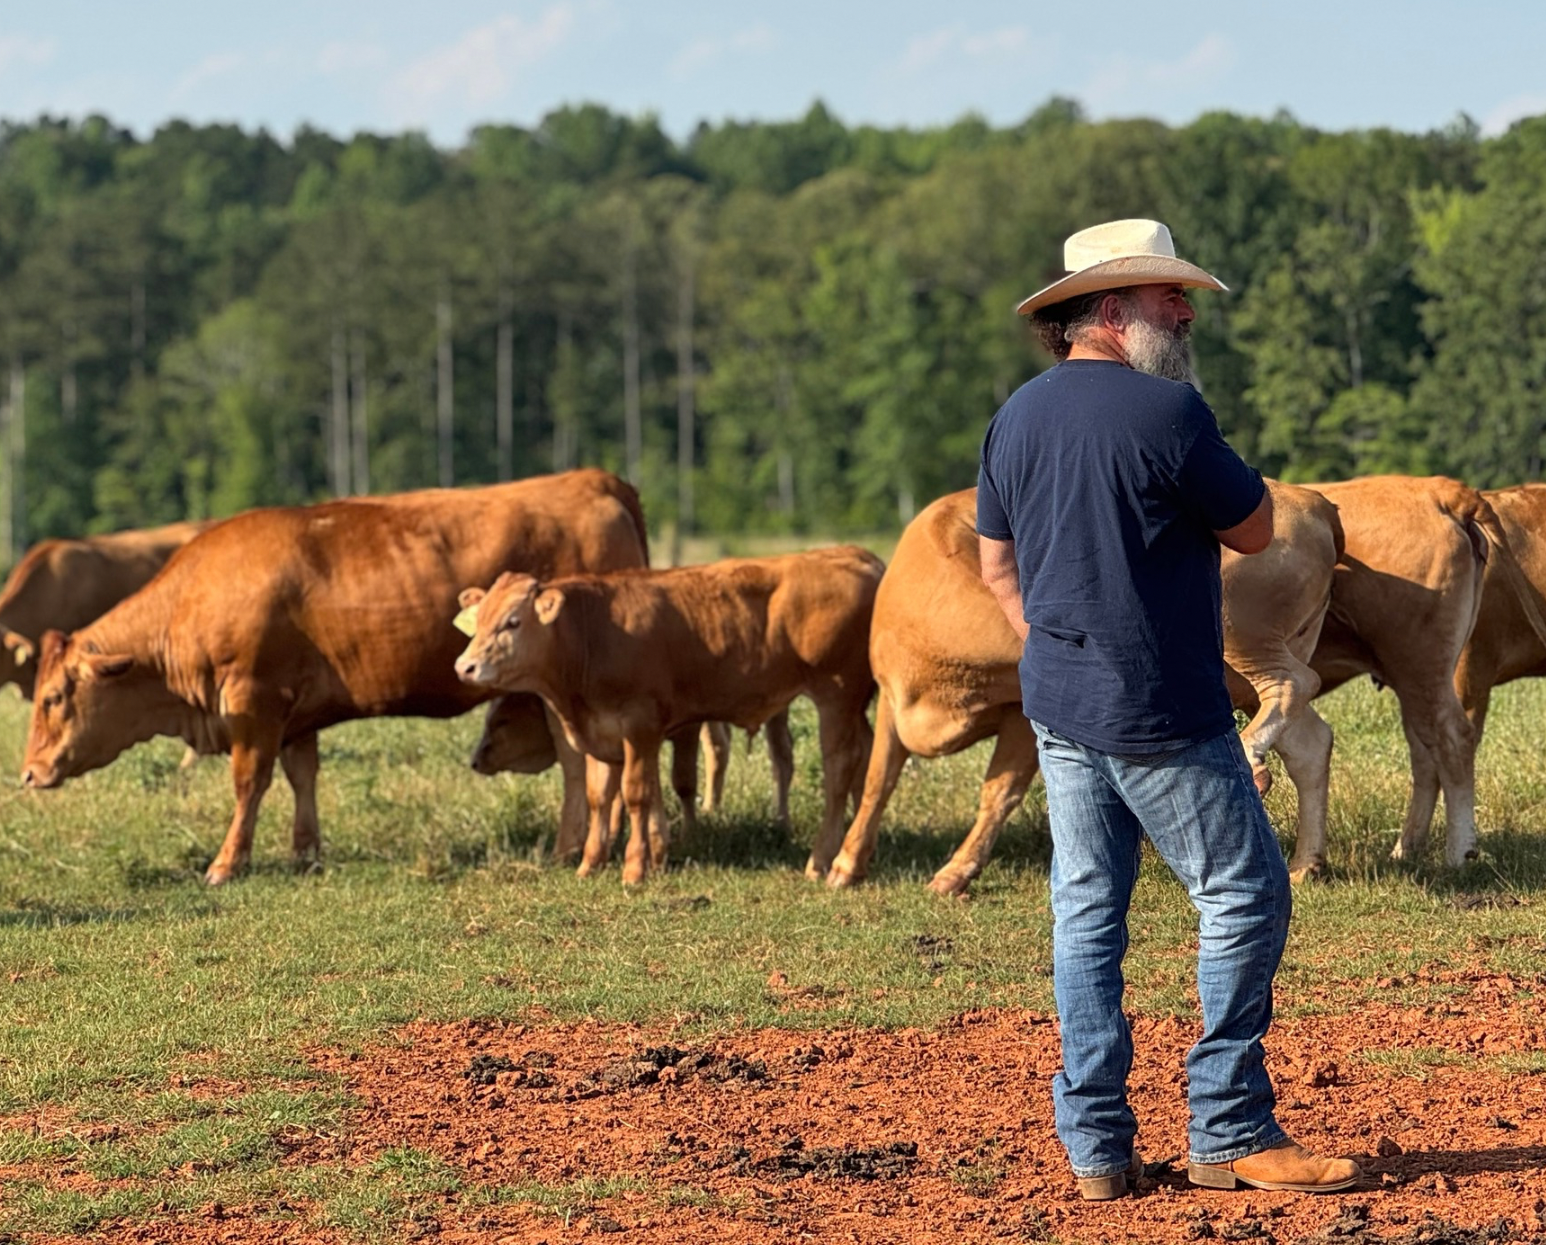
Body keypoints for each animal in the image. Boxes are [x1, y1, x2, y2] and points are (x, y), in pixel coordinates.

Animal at [453, 546, 882, 884]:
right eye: (479, 621)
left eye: (512, 621)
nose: (464, 666)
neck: (591, 632)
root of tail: (854, 555)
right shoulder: (600, 732)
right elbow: (599, 797)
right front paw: (591, 864)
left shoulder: (639, 726)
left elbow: (637, 794)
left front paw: (635, 868)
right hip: (855, 705)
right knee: (867, 755)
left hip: (836, 695)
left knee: (840, 768)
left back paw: (823, 859)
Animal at [818, 480, 1344, 894]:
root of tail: (1310, 500)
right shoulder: (902, 701)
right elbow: (883, 783)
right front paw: (855, 866)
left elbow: (989, 792)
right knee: (1308, 742)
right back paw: (1305, 863)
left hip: (1243, 632)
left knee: (1294, 684)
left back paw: (1254, 761)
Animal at [1309, 478, 1546, 866]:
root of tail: (1443, 489)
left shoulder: (1469, 670)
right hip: (1417, 675)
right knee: (1427, 752)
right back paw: (1408, 850)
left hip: (1434, 670)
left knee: (1450, 744)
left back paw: (1455, 855)